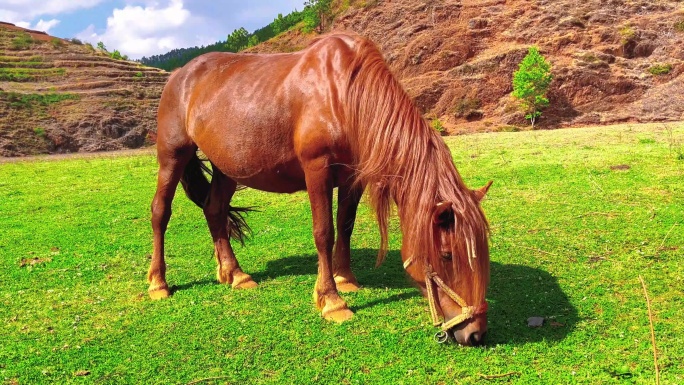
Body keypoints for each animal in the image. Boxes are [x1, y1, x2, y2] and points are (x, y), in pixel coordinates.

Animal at [148, 33, 492, 344]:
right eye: (447, 255)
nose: (475, 334)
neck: (345, 96)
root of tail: (180, 75)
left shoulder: (353, 177)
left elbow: (345, 226)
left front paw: (346, 278)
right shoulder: (317, 171)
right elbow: (324, 232)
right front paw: (332, 300)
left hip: (227, 168)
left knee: (214, 210)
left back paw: (234, 273)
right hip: (172, 156)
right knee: (161, 213)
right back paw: (158, 283)